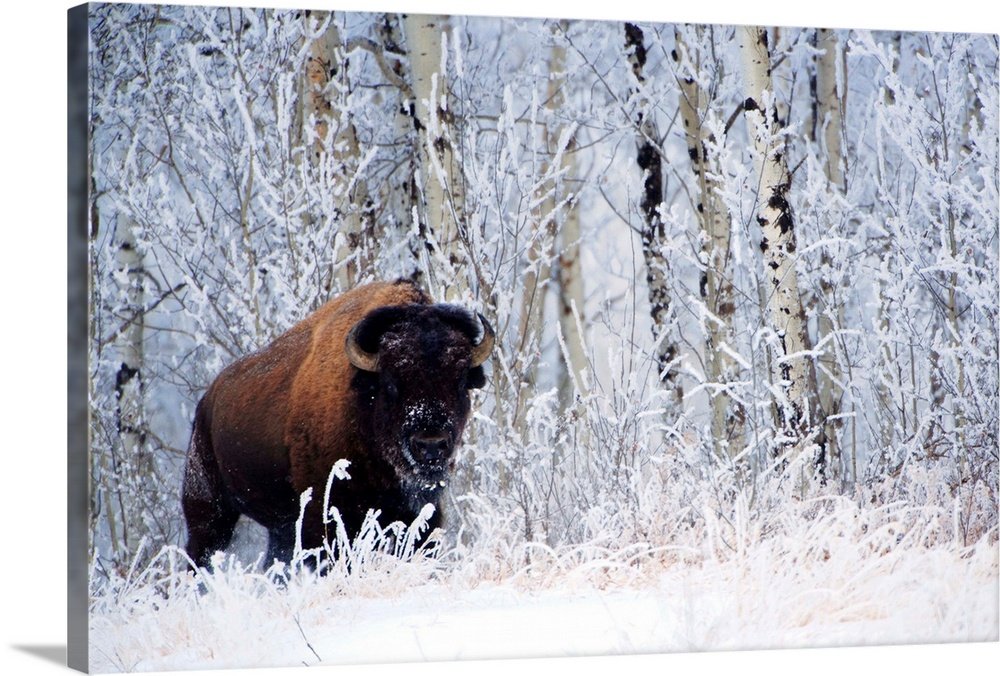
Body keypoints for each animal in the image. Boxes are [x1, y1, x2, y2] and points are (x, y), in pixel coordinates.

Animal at [181, 279, 494, 568]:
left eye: (460, 382)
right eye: (391, 383)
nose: (431, 445)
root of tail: (207, 401)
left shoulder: (422, 514)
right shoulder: (326, 520)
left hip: (278, 529)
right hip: (208, 511)